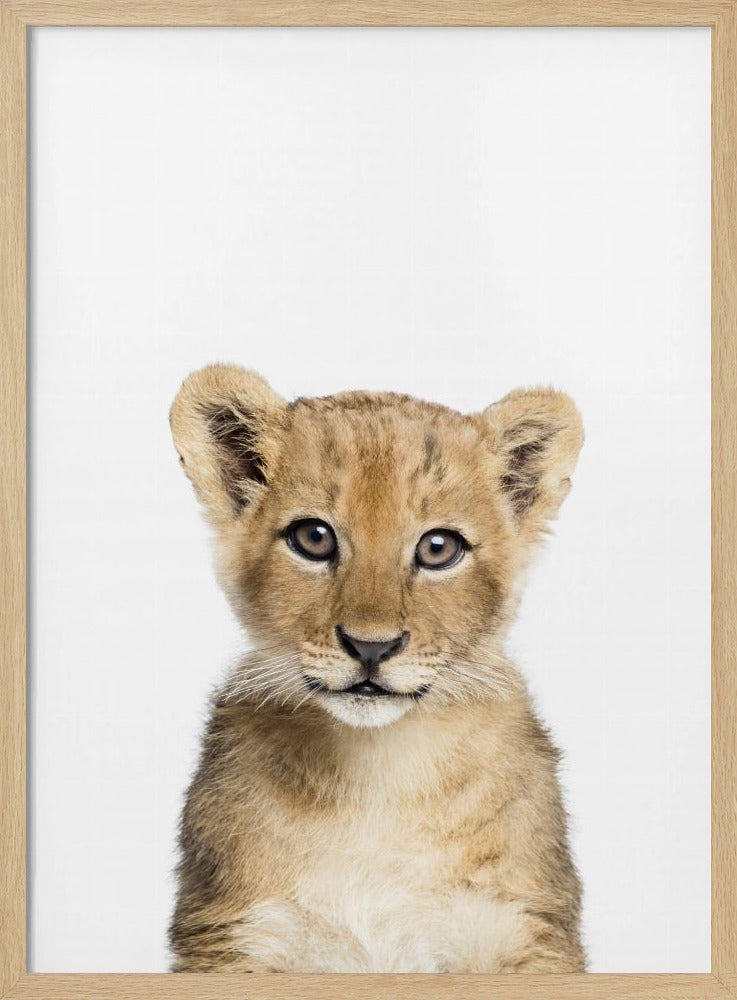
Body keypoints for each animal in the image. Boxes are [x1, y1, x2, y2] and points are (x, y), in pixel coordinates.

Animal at [168, 364, 585, 973]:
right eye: (313, 538)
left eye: (439, 548)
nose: (371, 647)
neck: (377, 776)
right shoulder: (233, 934)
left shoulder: (527, 930)